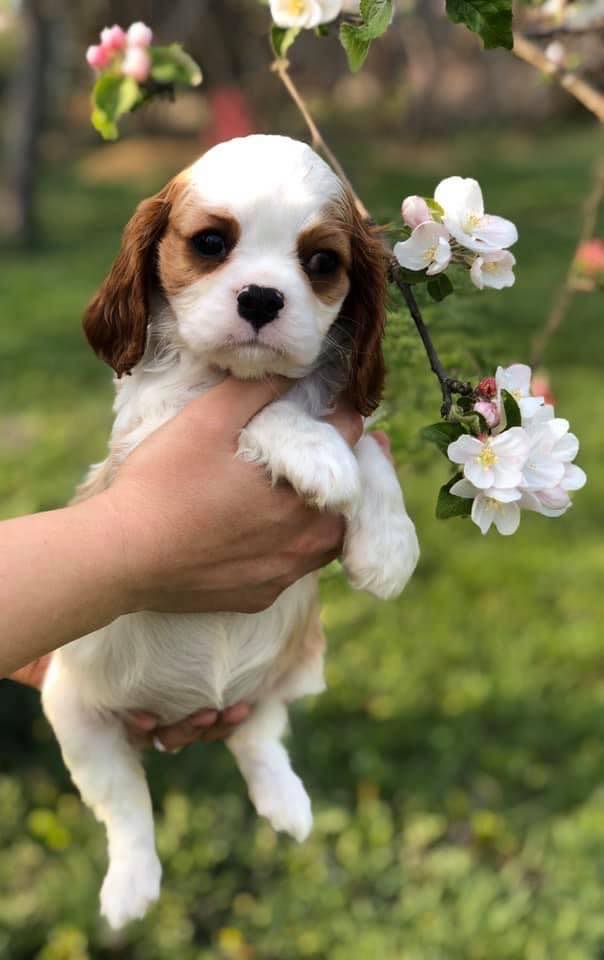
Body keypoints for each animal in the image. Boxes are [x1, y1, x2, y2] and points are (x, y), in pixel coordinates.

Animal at [42, 137, 420, 928]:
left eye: (321, 262)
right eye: (211, 245)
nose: (261, 299)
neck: (233, 374)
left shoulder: (343, 405)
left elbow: (367, 444)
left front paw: (389, 545)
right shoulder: (150, 435)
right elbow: (269, 415)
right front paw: (315, 452)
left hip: (290, 674)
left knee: (258, 736)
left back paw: (286, 804)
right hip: (76, 712)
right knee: (127, 806)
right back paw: (130, 890)